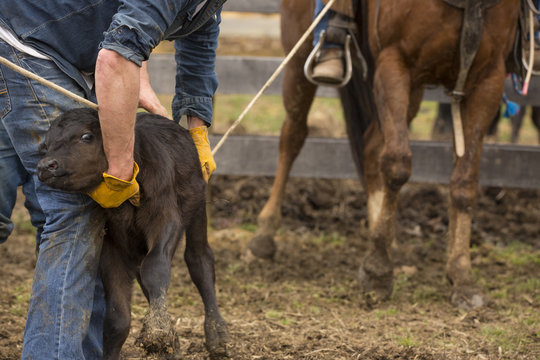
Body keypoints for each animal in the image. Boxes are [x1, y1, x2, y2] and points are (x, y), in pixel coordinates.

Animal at [247, 0, 520, 310]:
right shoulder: (395, 64)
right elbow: (397, 166)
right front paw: (377, 270)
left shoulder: (488, 78)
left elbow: (465, 182)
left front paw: (462, 275)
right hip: (299, 59)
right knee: (292, 136)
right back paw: (264, 235)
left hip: (414, 91)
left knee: (371, 147)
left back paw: (382, 233)